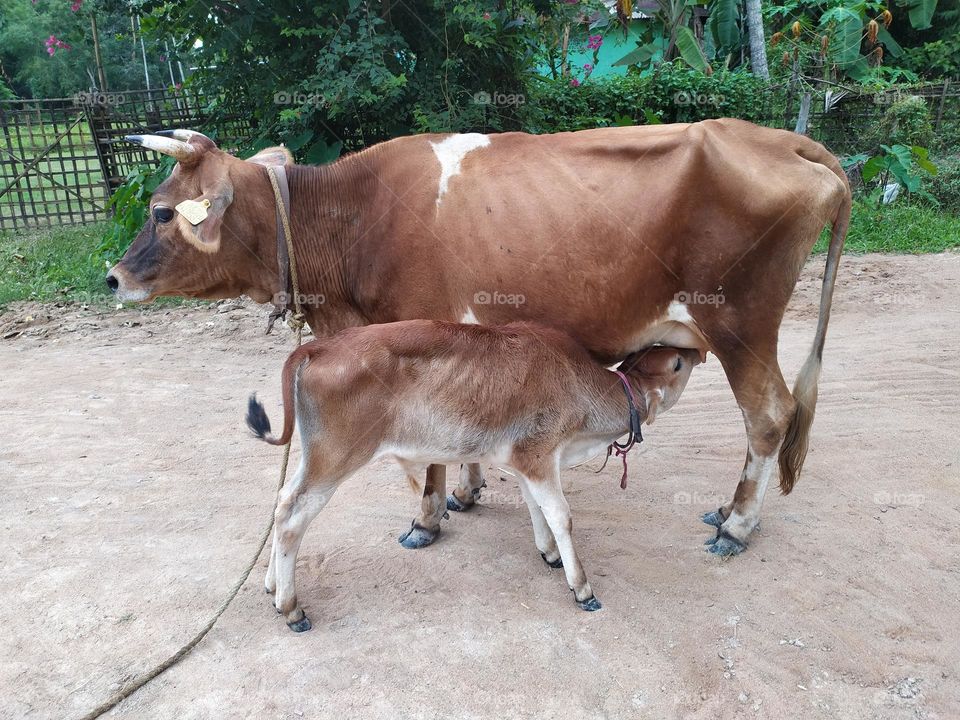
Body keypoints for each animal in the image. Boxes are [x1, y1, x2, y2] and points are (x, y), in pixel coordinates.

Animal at [110, 120, 851, 557]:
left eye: (161, 211)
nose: (112, 277)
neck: (352, 217)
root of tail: (777, 138)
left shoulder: (415, 325)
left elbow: (427, 454)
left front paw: (429, 518)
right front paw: (467, 492)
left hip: (740, 323)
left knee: (769, 416)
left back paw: (738, 525)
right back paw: (728, 511)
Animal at [245, 319, 702, 630]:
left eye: (669, 354)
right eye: (678, 362)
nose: (700, 352)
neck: (577, 384)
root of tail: (316, 348)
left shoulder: (525, 463)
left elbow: (536, 510)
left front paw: (549, 554)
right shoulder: (539, 456)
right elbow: (562, 516)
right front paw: (582, 588)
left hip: (313, 458)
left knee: (281, 502)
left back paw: (271, 586)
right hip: (335, 459)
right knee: (292, 518)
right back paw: (291, 607)